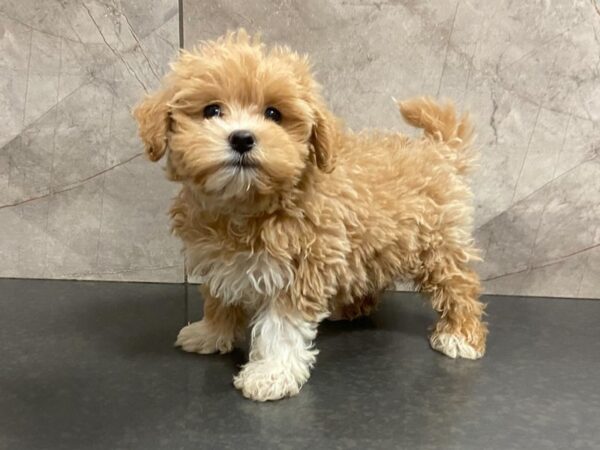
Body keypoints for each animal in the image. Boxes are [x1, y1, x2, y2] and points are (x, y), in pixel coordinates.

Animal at [132, 30, 488, 400]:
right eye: (211, 110)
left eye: (273, 113)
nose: (242, 138)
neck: (245, 204)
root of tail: (439, 150)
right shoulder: (220, 259)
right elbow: (219, 297)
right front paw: (210, 332)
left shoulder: (300, 268)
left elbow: (280, 327)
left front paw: (271, 373)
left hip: (437, 245)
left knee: (459, 285)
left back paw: (460, 334)